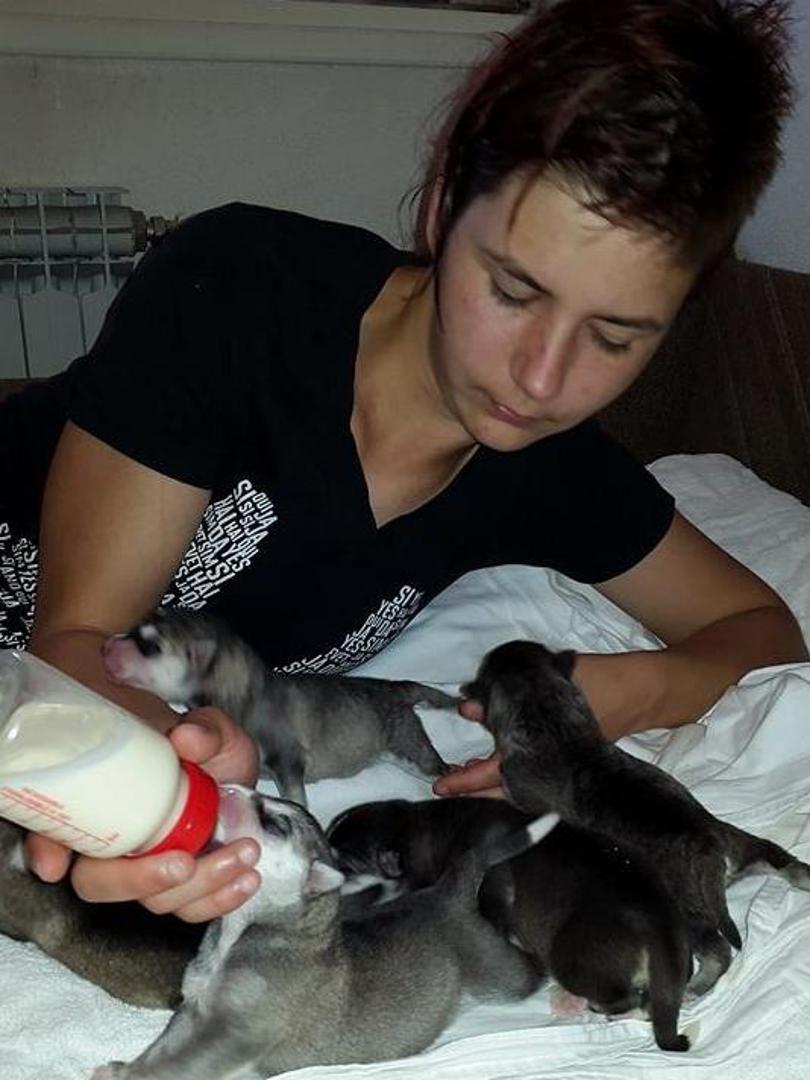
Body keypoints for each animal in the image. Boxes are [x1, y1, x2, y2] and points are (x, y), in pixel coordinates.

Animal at [102, 607, 455, 806]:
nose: (107, 646)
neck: (243, 690)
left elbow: (295, 795)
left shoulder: (288, 759)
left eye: (150, 647)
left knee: (437, 767)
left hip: (408, 746)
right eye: (135, 632)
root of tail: (397, 686)